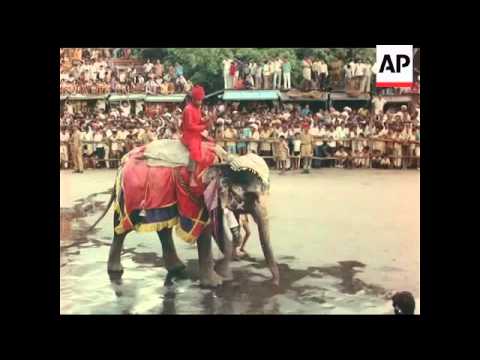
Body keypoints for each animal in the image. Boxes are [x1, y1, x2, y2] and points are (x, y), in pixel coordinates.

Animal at [88, 139, 280, 288]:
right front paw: (216, 283)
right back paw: (116, 270)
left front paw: (225, 275)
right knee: (123, 227)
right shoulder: (198, 191)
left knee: (162, 227)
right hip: (131, 194)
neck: (226, 161)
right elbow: (205, 227)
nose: (274, 283)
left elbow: (217, 228)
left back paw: (177, 268)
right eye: (252, 196)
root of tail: (123, 160)